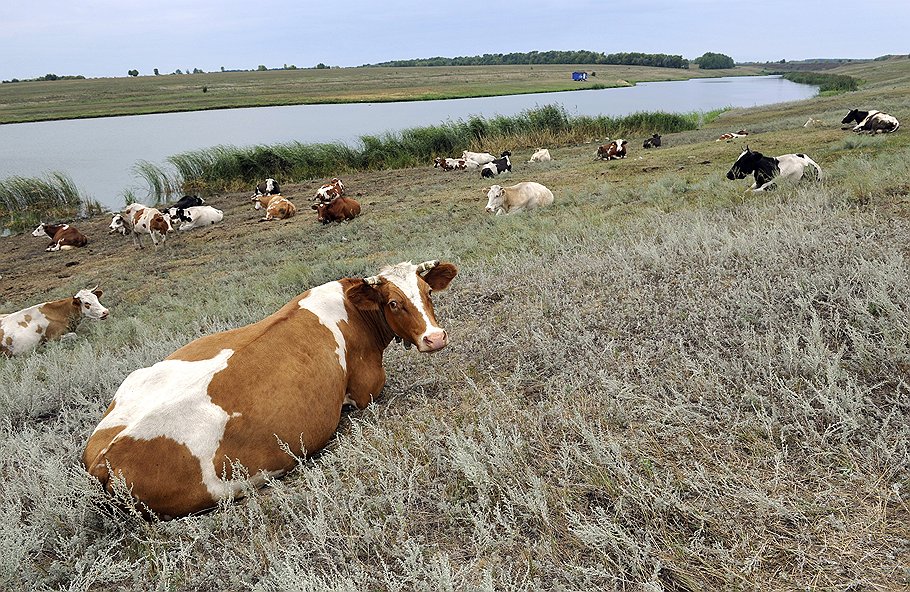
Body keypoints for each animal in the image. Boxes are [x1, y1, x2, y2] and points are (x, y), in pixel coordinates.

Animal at [82, 260, 460, 520]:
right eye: (393, 303)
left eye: (428, 293)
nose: (435, 337)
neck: (353, 311)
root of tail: (103, 457)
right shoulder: (367, 389)